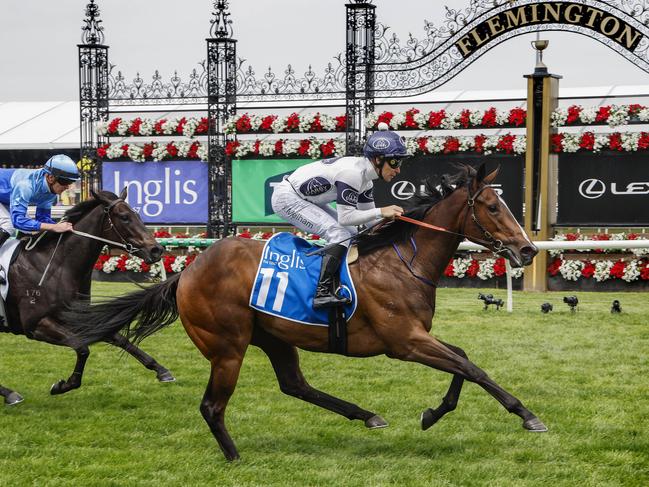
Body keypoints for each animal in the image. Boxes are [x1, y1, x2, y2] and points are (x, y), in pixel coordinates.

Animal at [0, 189, 172, 406]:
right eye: (124, 217)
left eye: (138, 215)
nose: (156, 249)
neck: (55, 266)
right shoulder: (36, 325)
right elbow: (82, 348)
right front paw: (63, 385)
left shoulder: (77, 317)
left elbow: (119, 338)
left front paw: (161, 370)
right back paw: (10, 394)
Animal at [62, 164, 548, 462]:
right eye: (492, 206)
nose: (528, 249)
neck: (402, 262)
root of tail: (186, 272)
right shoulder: (404, 342)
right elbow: (472, 367)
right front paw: (527, 415)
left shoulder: (416, 337)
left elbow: (462, 360)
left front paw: (434, 413)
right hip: (228, 346)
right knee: (212, 406)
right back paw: (234, 457)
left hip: (273, 336)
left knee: (294, 385)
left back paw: (366, 415)